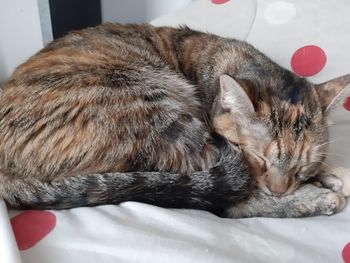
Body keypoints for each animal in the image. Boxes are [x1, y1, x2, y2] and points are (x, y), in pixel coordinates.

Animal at [0, 23, 350, 218]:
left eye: (302, 168)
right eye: (259, 158)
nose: (279, 191)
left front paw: (331, 173)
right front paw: (320, 189)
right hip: (160, 109)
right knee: (224, 203)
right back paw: (317, 200)